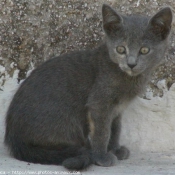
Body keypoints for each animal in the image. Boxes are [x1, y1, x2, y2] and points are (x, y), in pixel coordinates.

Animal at [4, 4, 172, 170]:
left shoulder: (117, 109)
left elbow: (115, 129)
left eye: (144, 50)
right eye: (120, 49)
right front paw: (101, 156)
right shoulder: (99, 103)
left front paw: (115, 149)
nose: (131, 64)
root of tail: (16, 140)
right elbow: (102, 131)